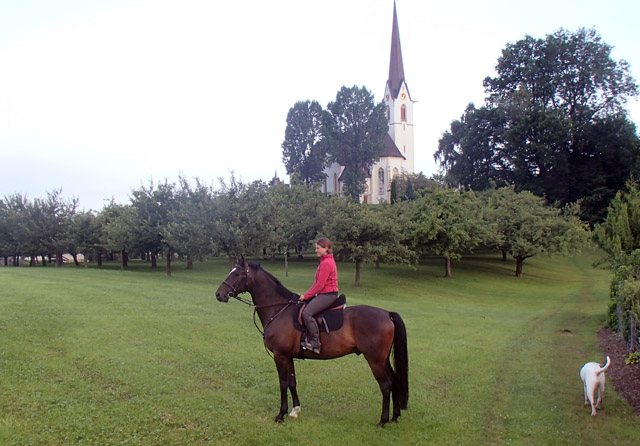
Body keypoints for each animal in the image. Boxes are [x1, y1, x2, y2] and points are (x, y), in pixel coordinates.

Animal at [212, 254, 408, 426]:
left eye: (237, 274)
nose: (219, 294)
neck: (279, 309)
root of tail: (386, 313)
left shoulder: (280, 355)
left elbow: (283, 383)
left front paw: (281, 414)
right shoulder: (288, 356)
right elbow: (292, 382)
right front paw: (295, 410)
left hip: (375, 360)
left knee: (386, 385)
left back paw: (382, 421)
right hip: (383, 360)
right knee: (395, 381)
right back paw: (394, 417)